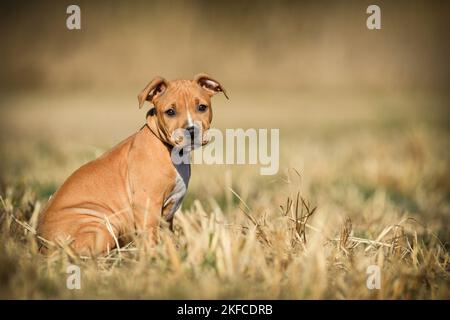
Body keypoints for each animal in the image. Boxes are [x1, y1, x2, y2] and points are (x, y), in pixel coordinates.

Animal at [37, 74, 229, 256]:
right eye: (170, 112)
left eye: (202, 107)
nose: (191, 130)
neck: (169, 149)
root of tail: (41, 243)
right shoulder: (147, 205)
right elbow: (151, 237)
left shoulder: (167, 217)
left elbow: (168, 238)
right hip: (102, 226)